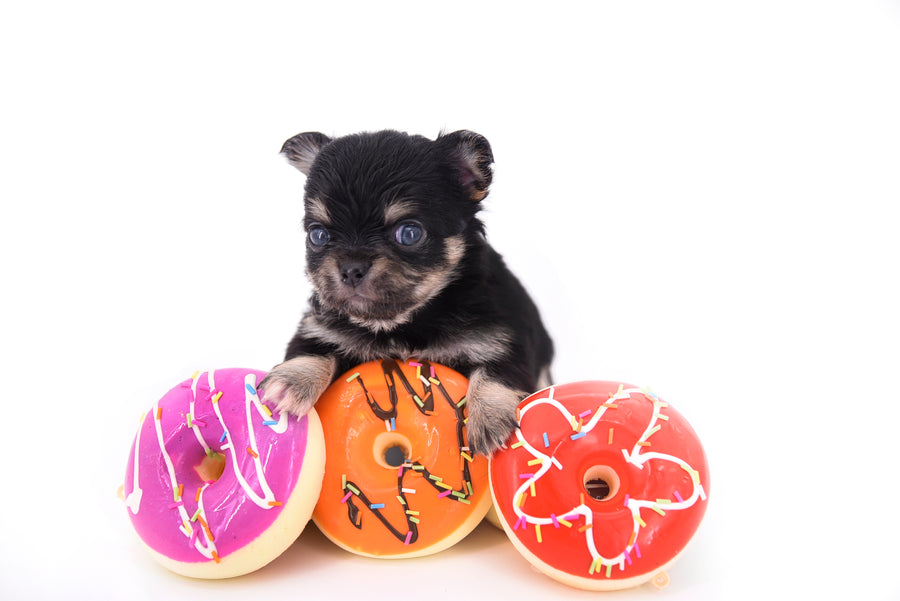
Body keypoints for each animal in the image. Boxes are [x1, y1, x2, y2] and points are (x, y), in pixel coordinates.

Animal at [259, 129, 554, 455]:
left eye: (410, 233)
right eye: (318, 235)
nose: (351, 268)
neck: (404, 322)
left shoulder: (502, 335)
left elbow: (498, 368)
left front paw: (488, 416)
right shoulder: (323, 328)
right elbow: (313, 348)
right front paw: (291, 381)